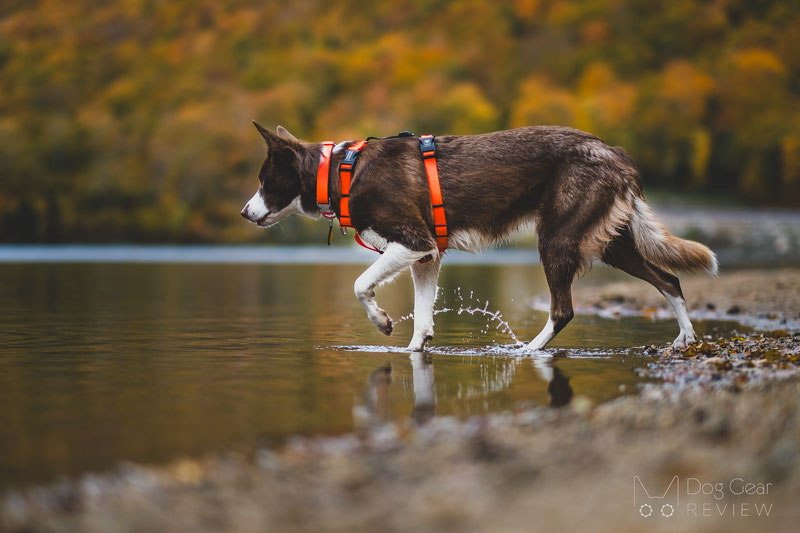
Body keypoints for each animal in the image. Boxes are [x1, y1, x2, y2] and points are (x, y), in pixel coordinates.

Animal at [241, 121, 716, 354]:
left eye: (264, 181)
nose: (244, 212)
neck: (341, 172)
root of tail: (614, 152)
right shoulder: (428, 256)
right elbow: (423, 320)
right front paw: (415, 349)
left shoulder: (413, 242)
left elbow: (360, 284)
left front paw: (381, 321)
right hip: (611, 243)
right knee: (670, 280)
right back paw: (685, 339)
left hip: (557, 239)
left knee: (563, 310)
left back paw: (527, 351)